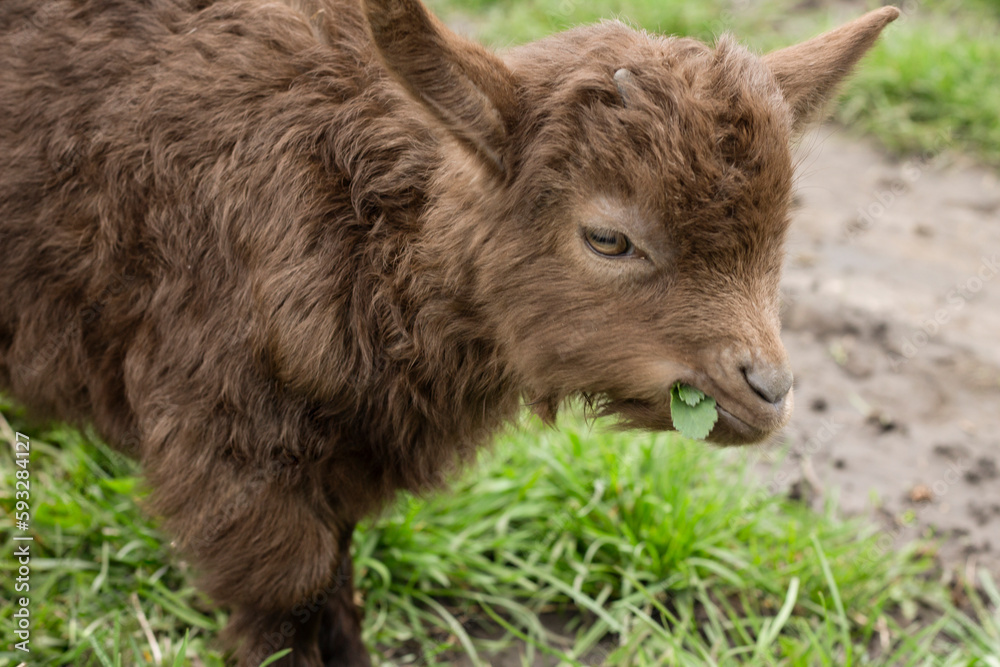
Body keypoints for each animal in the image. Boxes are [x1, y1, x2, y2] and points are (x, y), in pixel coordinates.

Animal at [0, 1, 900, 664]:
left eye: (780, 232)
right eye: (608, 238)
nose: (767, 388)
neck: (363, 227)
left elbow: (336, 574)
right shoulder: (227, 432)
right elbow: (288, 589)